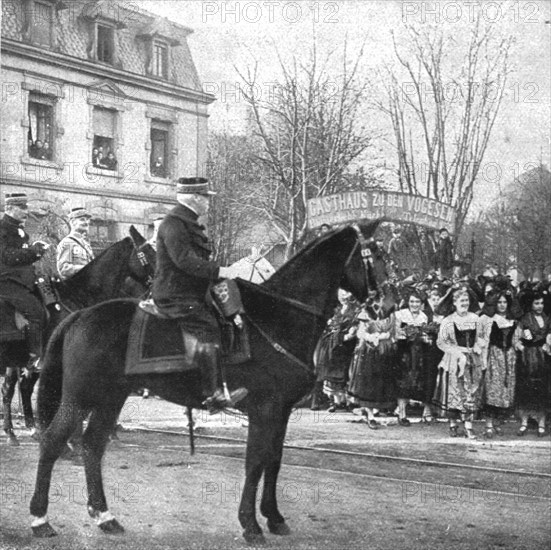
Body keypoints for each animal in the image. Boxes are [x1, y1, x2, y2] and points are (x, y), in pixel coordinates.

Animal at [1, 226, 155, 446]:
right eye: (148, 251)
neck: (80, 296)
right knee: (11, 389)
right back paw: (14, 432)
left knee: (21, 387)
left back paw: (29, 429)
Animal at [30, 223, 382, 544]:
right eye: (375, 253)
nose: (383, 304)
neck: (281, 316)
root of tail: (79, 315)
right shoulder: (264, 409)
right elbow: (255, 463)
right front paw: (250, 524)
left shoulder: (281, 412)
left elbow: (274, 461)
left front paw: (274, 517)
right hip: (80, 398)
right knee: (53, 442)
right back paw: (40, 519)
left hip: (110, 398)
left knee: (92, 445)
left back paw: (105, 516)